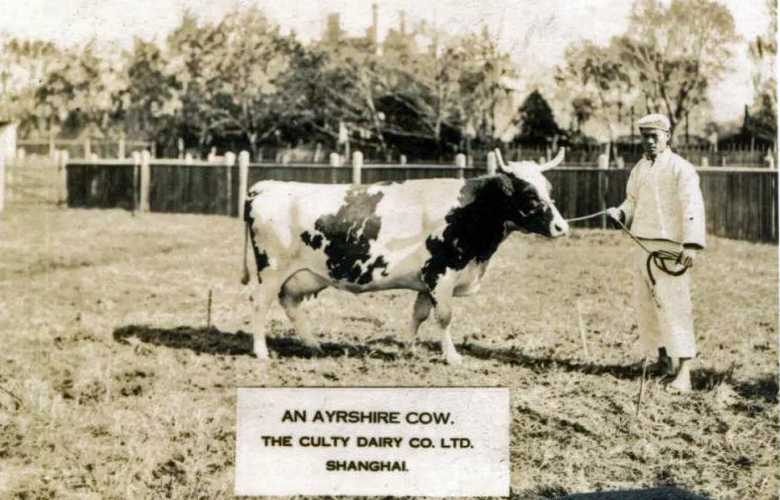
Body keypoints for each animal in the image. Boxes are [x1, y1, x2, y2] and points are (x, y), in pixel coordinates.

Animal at [241, 148, 568, 364]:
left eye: (550, 188)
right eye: (528, 195)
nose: (562, 227)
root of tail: (266, 186)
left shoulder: (426, 280)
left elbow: (419, 314)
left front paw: (408, 349)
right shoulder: (441, 273)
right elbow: (444, 316)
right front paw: (452, 356)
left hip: (301, 275)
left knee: (290, 304)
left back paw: (312, 344)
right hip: (272, 269)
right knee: (259, 304)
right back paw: (261, 351)